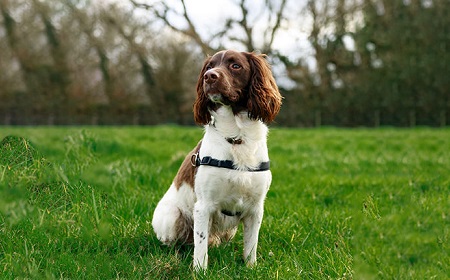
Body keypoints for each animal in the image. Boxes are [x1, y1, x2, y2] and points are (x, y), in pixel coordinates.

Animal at [153, 49, 284, 270]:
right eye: (209, 66)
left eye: (235, 65)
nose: (209, 76)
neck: (237, 138)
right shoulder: (203, 206)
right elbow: (200, 247)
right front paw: (200, 271)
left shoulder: (256, 208)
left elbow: (251, 246)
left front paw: (250, 268)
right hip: (172, 217)